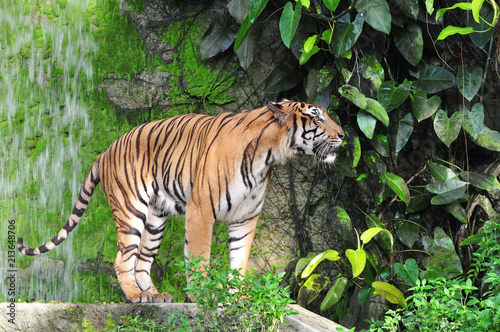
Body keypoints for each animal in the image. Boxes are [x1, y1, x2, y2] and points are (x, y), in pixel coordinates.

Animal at [16, 100, 344, 304]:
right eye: (317, 116)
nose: (343, 135)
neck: (268, 156)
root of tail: (105, 151)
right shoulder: (202, 211)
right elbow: (200, 257)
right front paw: (203, 296)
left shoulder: (246, 218)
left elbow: (239, 261)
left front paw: (237, 296)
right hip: (131, 210)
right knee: (122, 259)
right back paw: (134, 297)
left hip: (155, 219)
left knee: (142, 261)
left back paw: (154, 296)